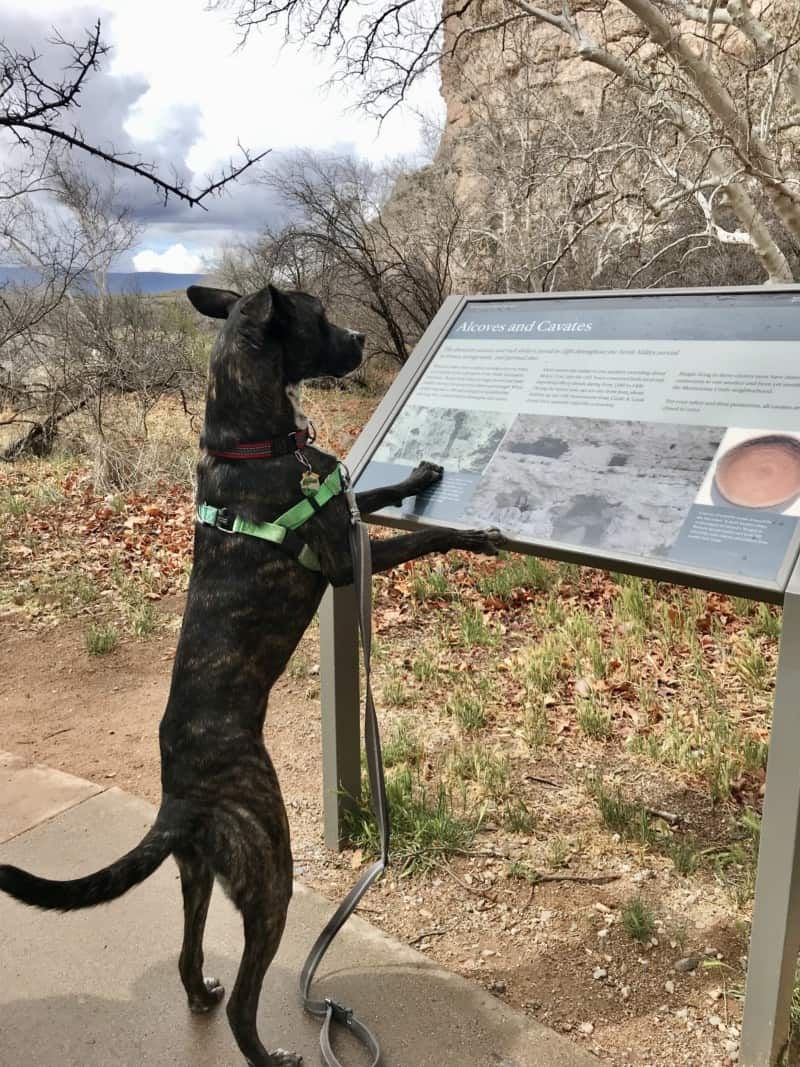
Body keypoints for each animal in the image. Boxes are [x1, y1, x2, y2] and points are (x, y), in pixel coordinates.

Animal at [0, 279, 501, 1062]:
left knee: (188, 959)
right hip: (270, 869)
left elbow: (369, 489)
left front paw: (419, 472)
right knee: (243, 1001)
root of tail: (180, 801)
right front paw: (475, 532)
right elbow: (419, 535)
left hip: (198, 875)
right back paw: (269, 1047)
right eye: (319, 319)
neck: (252, 442)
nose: (362, 339)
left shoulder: (342, 499)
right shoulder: (343, 558)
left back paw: (201, 993)